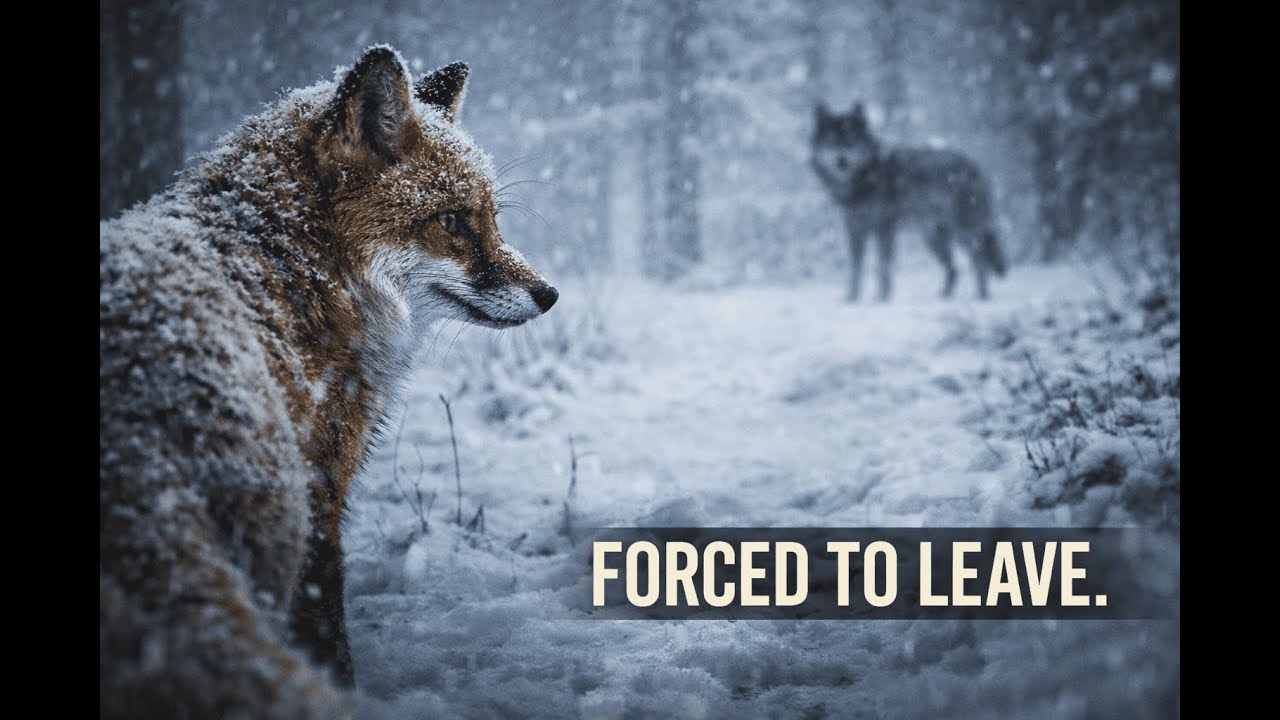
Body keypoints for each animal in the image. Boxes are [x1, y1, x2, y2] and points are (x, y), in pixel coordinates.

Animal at [100, 45, 557, 718]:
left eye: (493, 218)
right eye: (453, 221)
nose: (548, 294)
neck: (290, 277)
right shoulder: (323, 491)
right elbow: (329, 638)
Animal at [810, 102, 1007, 301]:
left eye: (851, 142)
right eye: (831, 142)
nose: (841, 160)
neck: (865, 177)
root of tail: (973, 166)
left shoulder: (885, 228)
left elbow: (883, 267)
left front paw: (881, 299)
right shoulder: (854, 230)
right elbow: (855, 269)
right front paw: (852, 299)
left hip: (963, 233)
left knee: (979, 262)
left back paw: (981, 297)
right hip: (933, 239)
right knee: (954, 269)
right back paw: (943, 297)